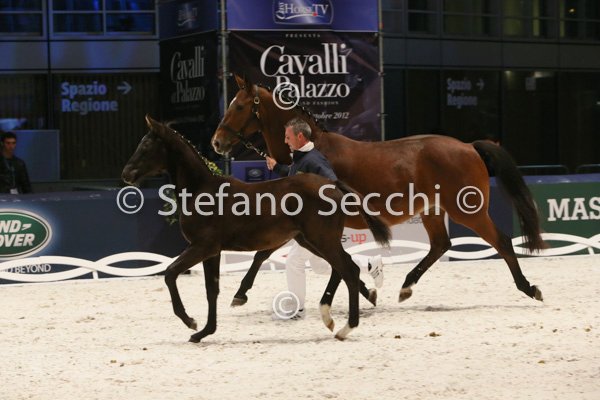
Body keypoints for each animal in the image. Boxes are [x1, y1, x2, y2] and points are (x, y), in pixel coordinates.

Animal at [121, 115, 391, 342]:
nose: (126, 174)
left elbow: (169, 274)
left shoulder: (202, 247)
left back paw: (346, 327)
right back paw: (331, 317)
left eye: (146, 146)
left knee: (348, 271)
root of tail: (332, 184)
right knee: (344, 268)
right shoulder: (212, 252)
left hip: (321, 240)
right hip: (311, 241)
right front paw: (204, 331)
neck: (201, 191)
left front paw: (190, 322)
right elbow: (212, 290)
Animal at [211, 74, 547, 307]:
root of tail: (468, 146)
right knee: (441, 245)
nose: (216, 142)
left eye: (239, 106)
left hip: (469, 212)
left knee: (502, 242)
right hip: (433, 212)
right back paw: (406, 286)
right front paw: (367, 289)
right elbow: (281, 255)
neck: (311, 149)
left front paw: (240, 293)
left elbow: (265, 253)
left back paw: (529, 288)